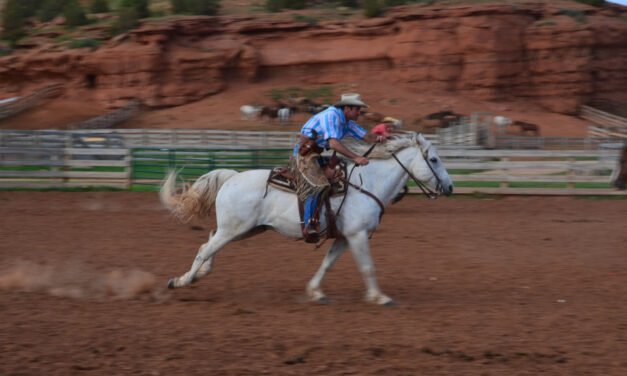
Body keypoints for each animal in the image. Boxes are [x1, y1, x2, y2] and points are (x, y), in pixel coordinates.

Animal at [161, 132, 456, 306]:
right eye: (434, 159)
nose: (450, 187)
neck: (368, 183)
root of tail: (232, 176)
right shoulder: (358, 235)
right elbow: (367, 267)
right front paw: (379, 296)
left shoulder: (344, 237)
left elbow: (327, 264)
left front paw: (315, 291)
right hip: (234, 229)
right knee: (205, 248)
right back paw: (182, 281)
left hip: (244, 229)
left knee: (209, 244)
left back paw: (195, 276)